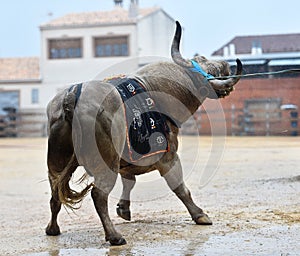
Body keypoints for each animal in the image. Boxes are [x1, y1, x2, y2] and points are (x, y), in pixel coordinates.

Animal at [45, 22, 243, 246]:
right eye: (210, 69)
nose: (225, 64)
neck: (157, 91)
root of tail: (71, 100)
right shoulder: (169, 158)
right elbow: (180, 188)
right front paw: (200, 215)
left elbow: (129, 182)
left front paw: (124, 208)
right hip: (106, 163)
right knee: (98, 195)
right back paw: (114, 236)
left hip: (57, 163)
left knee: (55, 194)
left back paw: (53, 229)